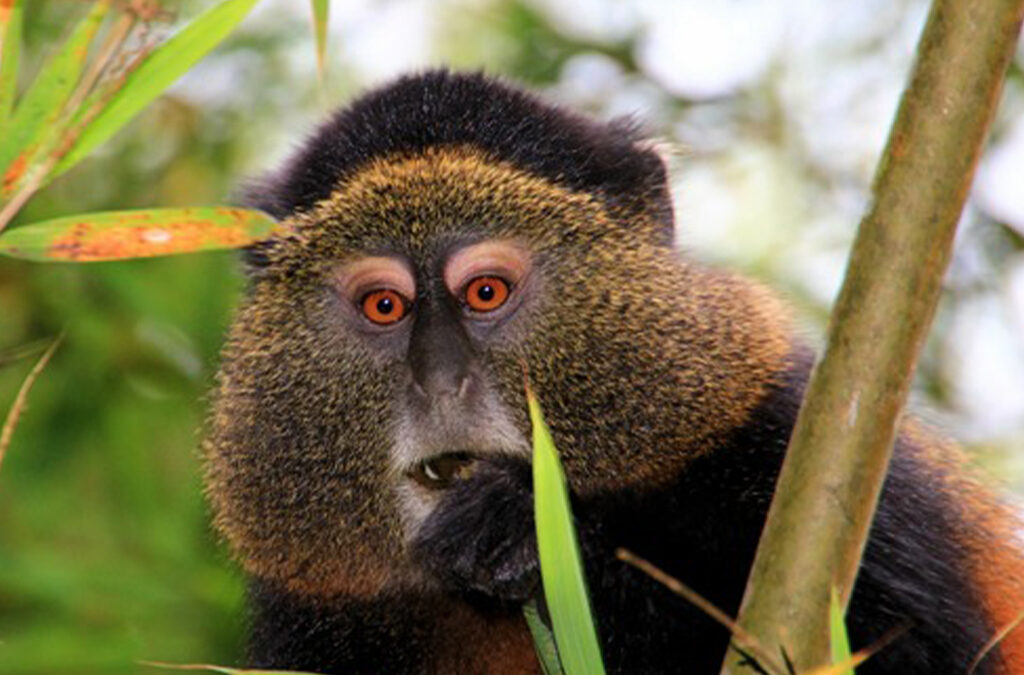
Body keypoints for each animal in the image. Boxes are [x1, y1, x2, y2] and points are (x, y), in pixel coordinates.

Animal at [203, 70, 1024, 674]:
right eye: (384, 305)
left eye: (485, 291)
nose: (440, 381)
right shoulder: (311, 613)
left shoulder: (800, 451)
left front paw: (531, 528)